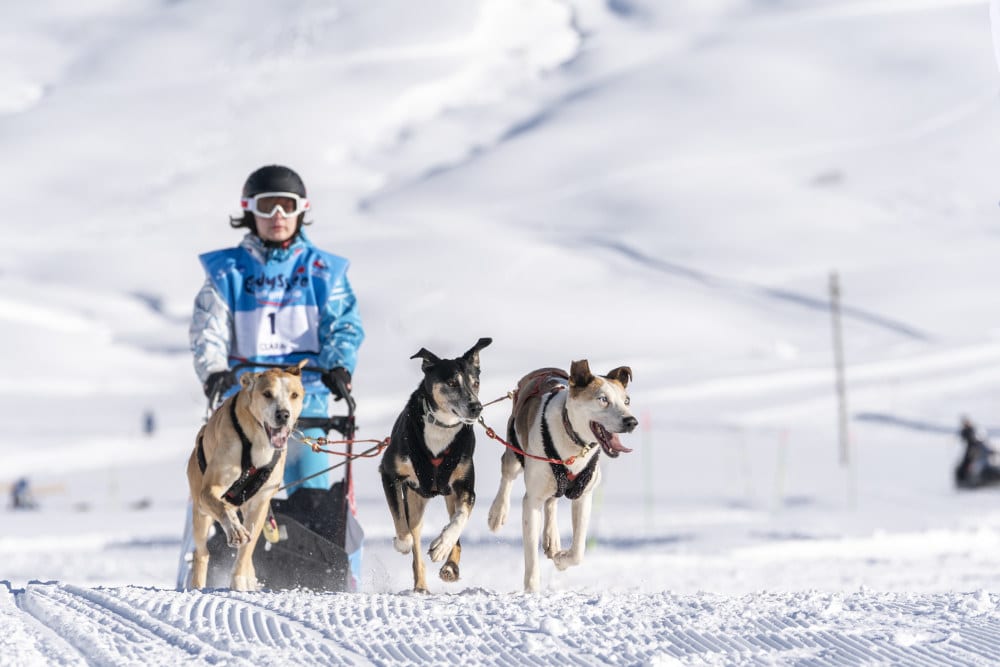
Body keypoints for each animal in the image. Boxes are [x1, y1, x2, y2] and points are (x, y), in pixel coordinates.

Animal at [186, 362, 304, 592]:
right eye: (267, 394)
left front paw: (239, 580)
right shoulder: (210, 490)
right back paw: (197, 585)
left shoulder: (260, 503)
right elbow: (224, 510)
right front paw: (235, 530)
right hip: (201, 513)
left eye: (294, 395)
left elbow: (247, 549)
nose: (283, 414)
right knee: (201, 552)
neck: (258, 443)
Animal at [378, 340, 492, 596]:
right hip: (415, 501)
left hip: (450, 495)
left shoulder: (465, 487)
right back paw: (420, 583)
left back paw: (450, 565)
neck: (441, 427)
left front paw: (441, 545)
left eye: (475, 383)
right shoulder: (389, 474)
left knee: (454, 528)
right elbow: (401, 522)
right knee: (415, 546)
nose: (476, 407)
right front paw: (402, 542)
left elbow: (460, 519)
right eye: (452, 383)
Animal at [486, 362, 640, 592]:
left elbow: (578, 551)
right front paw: (532, 589)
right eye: (603, 399)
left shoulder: (584, 496)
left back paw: (552, 539)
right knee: (507, 476)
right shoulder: (532, 501)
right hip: (514, 452)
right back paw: (498, 513)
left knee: (552, 501)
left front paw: (561, 559)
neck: (573, 441)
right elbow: (531, 553)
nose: (631, 421)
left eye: (626, 400)